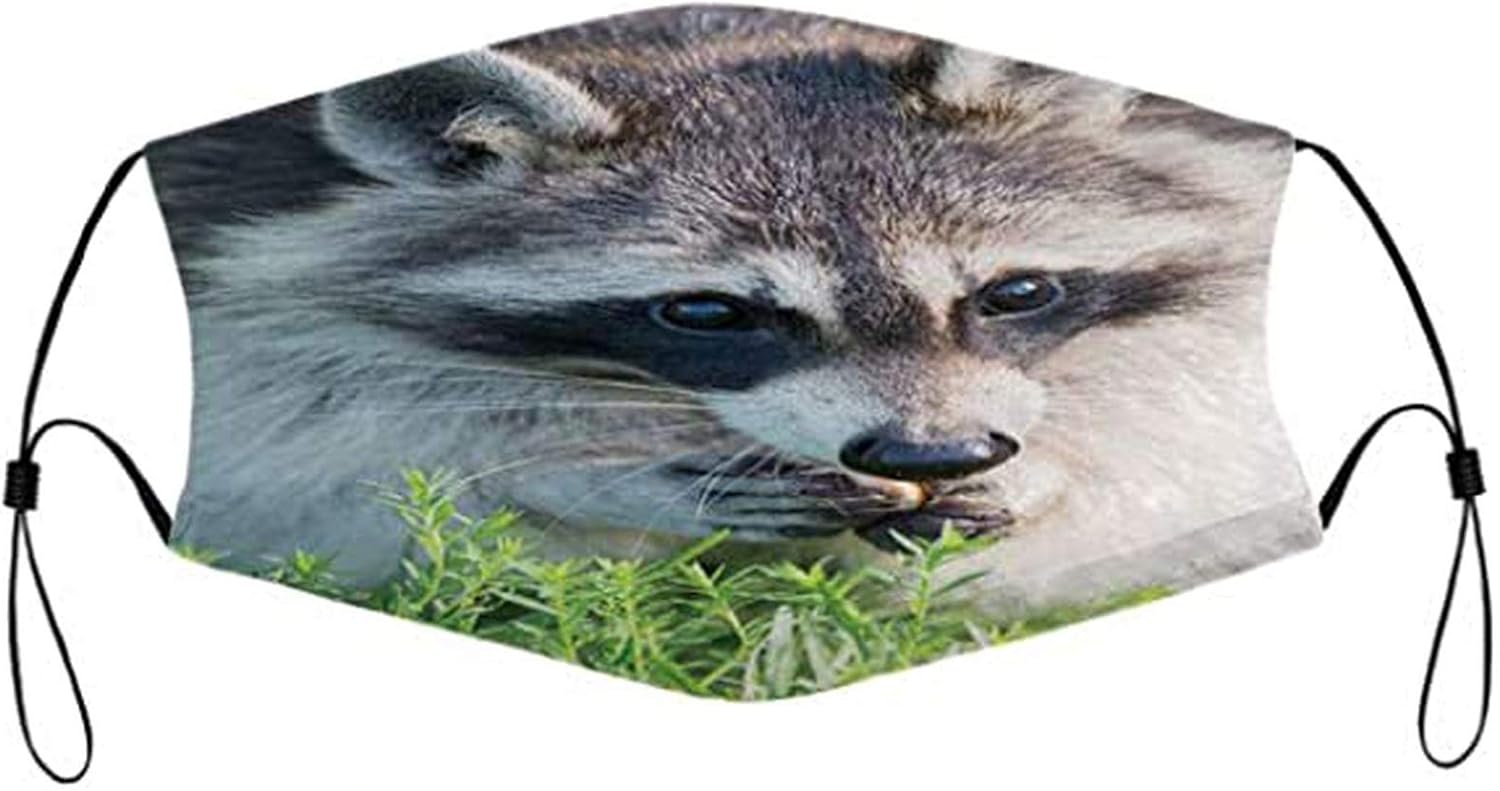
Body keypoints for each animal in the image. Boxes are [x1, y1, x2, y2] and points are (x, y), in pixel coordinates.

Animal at [148, 5, 1316, 612]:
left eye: (1014, 293)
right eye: (709, 313)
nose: (933, 453)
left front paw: (1058, 466)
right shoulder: (237, 216)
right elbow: (303, 437)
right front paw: (584, 470)